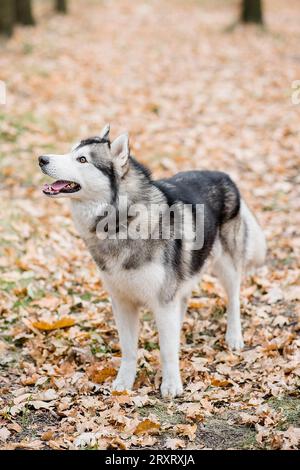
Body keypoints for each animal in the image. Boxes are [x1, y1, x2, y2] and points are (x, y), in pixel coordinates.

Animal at [38, 124, 266, 396]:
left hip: (227, 268)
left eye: (82, 159)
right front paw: (124, 383)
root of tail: (224, 175)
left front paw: (171, 384)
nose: (42, 159)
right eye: (70, 151)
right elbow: (129, 349)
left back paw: (233, 337)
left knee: (233, 301)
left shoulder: (163, 300)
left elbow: (167, 349)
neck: (121, 223)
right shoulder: (122, 301)